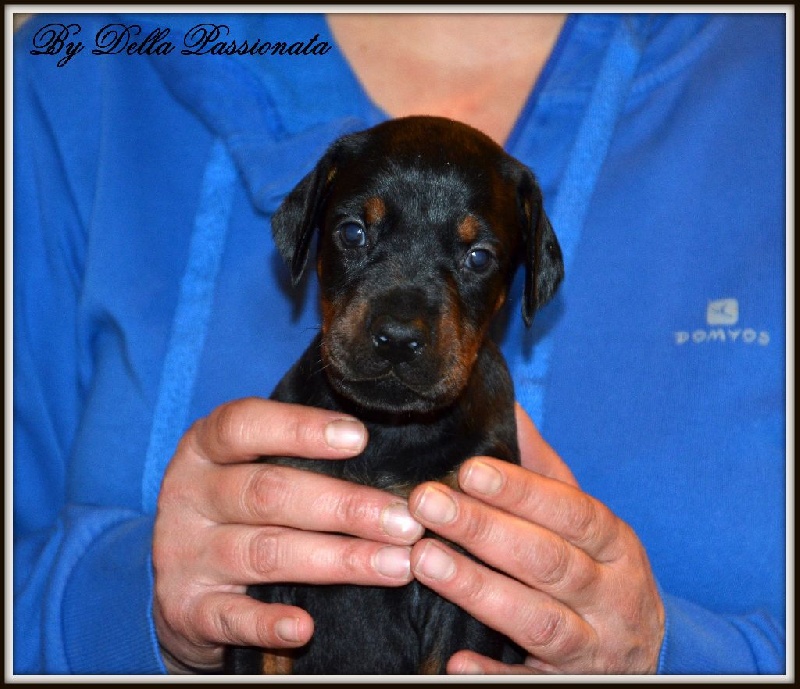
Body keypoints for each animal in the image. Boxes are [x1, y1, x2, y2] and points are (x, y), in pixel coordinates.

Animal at [227, 116, 564, 674]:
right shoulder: (271, 571)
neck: (389, 429)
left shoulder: (458, 573)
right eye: (352, 232)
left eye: (479, 257)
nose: (399, 338)